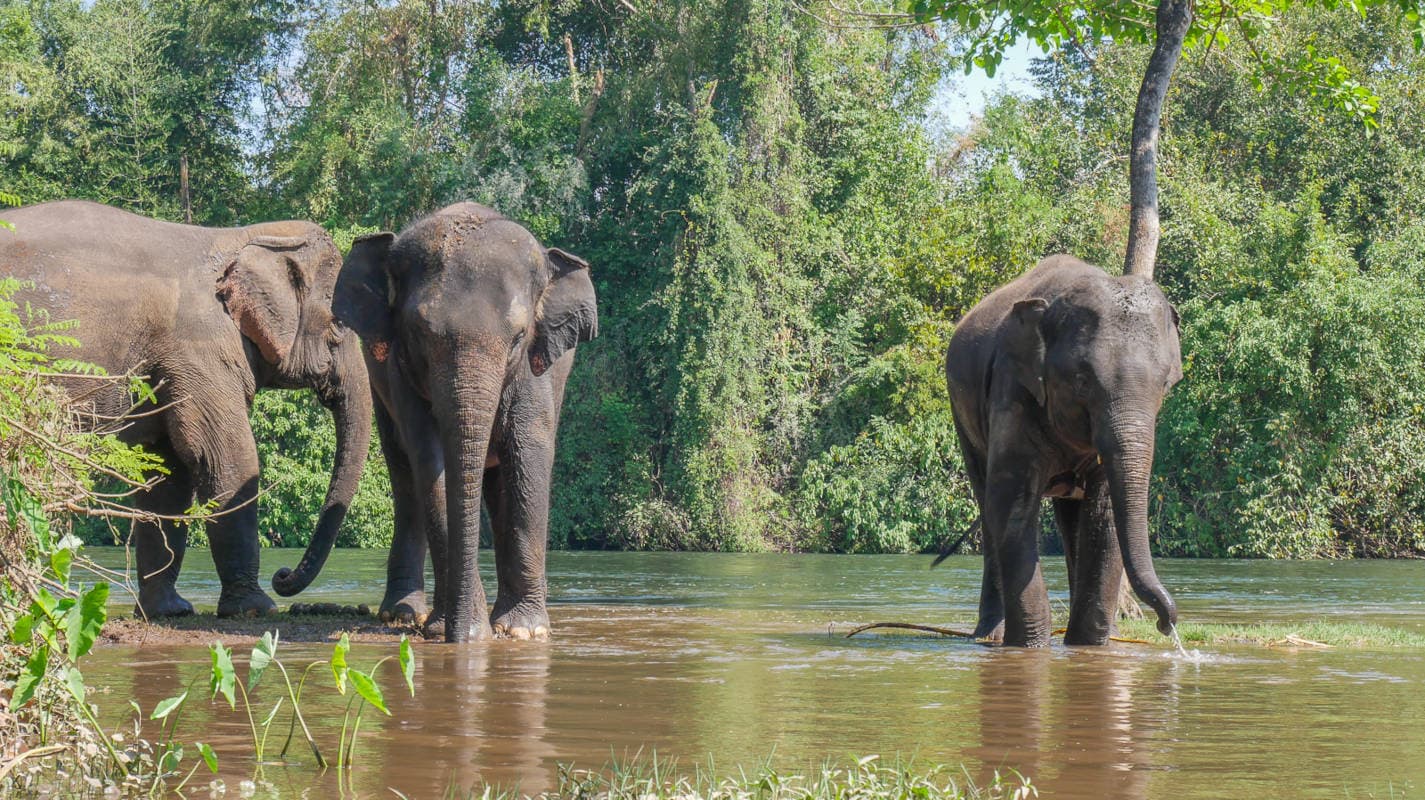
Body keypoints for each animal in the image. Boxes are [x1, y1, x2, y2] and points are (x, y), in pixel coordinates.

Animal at [0, 200, 371, 617]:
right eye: (339, 323)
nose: (283, 576)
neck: (240, 237)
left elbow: (168, 476)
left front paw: (170, 611)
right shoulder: (198, 349)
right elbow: (225, 458)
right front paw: (256, 610)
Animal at [333, 202, 598, 643]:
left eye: (519, 336)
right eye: (418, 335)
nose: (460, 636)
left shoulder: (536, 371)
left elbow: (529, 453)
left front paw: (523, 632)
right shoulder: (399, 373)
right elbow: (430, 461)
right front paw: (461, 632)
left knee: (500, 482)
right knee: (405, 479)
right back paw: (404, 616)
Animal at [944, 254, 1181, 647]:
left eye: (1165, 384)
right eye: (1082, 381)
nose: (1166, 624)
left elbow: (1103, 513)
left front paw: (1087, 646)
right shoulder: (1012, 390)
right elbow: (1011, 504)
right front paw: (1030, 648)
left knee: (1072, 520)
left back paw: (1107, 633)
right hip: (962, 417)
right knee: (987, 506)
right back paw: (990, 636)